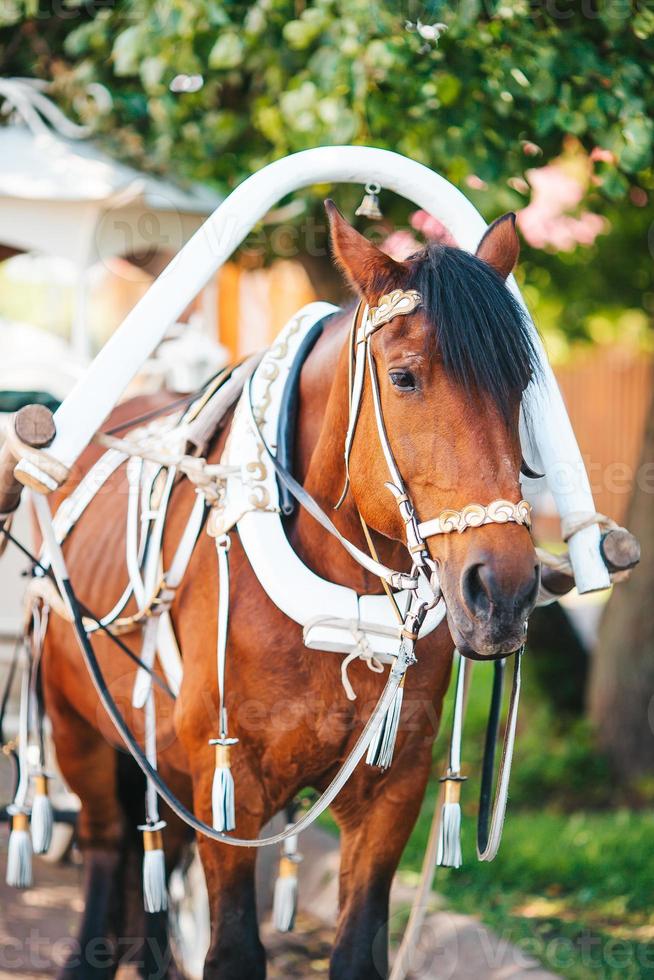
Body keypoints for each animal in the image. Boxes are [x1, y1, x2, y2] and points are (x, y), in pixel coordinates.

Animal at [41, 201, 544, 980]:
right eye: (405, 378)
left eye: (519, 383)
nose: (505, 589)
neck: (339, 609)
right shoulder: (230, 785)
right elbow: (234, 951)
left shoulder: (392, 788)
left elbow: (358, 950)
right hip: (76, 726)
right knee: (105, 844)